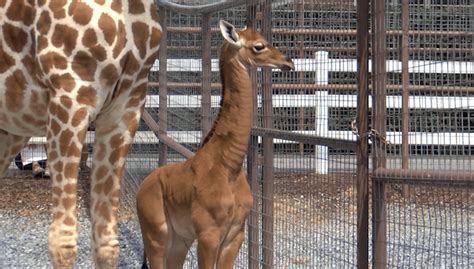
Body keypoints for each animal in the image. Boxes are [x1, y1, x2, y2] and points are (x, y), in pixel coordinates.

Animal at [135, 19, 294, 266]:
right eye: (258, 46)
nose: (288, 62)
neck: (229, 166)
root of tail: (141, 188)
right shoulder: (208, 235)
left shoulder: (235, 234)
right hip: (156, 235)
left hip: (179, 239)